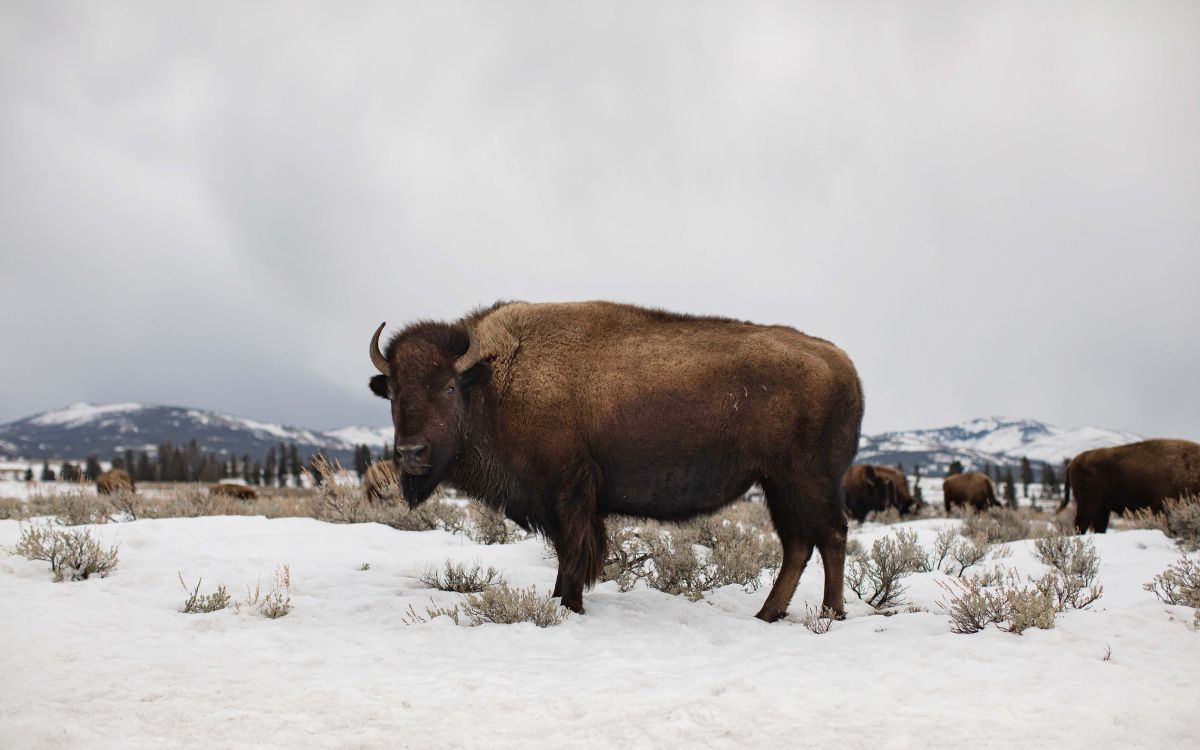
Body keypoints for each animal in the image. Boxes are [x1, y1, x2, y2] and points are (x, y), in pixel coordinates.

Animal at [368, 301, 864, 620]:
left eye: (449, 387)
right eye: (392, 393)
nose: (410, 454)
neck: (494, 379)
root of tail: (845, 365)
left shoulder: (568, 494)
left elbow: (574, 552)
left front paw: (569, 604)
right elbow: (565, 552)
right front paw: (559, 600)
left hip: (808, 481)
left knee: (831, 536)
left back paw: (830, 613)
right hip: (778, 484)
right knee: (798, 544)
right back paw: (768, 613)